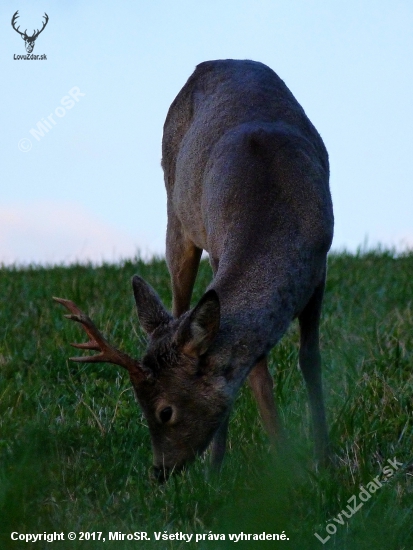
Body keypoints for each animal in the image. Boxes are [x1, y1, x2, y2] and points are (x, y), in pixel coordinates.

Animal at [54, 61, 334, 484]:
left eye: (165, 411)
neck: (275, 212)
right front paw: (275, 467)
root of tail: (214, 62)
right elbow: (257, 373)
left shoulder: (320, 263)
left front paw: (324, 460)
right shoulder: (219, 250)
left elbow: (310, 360)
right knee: (177, 300)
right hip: (177, 217)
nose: (159, 471)